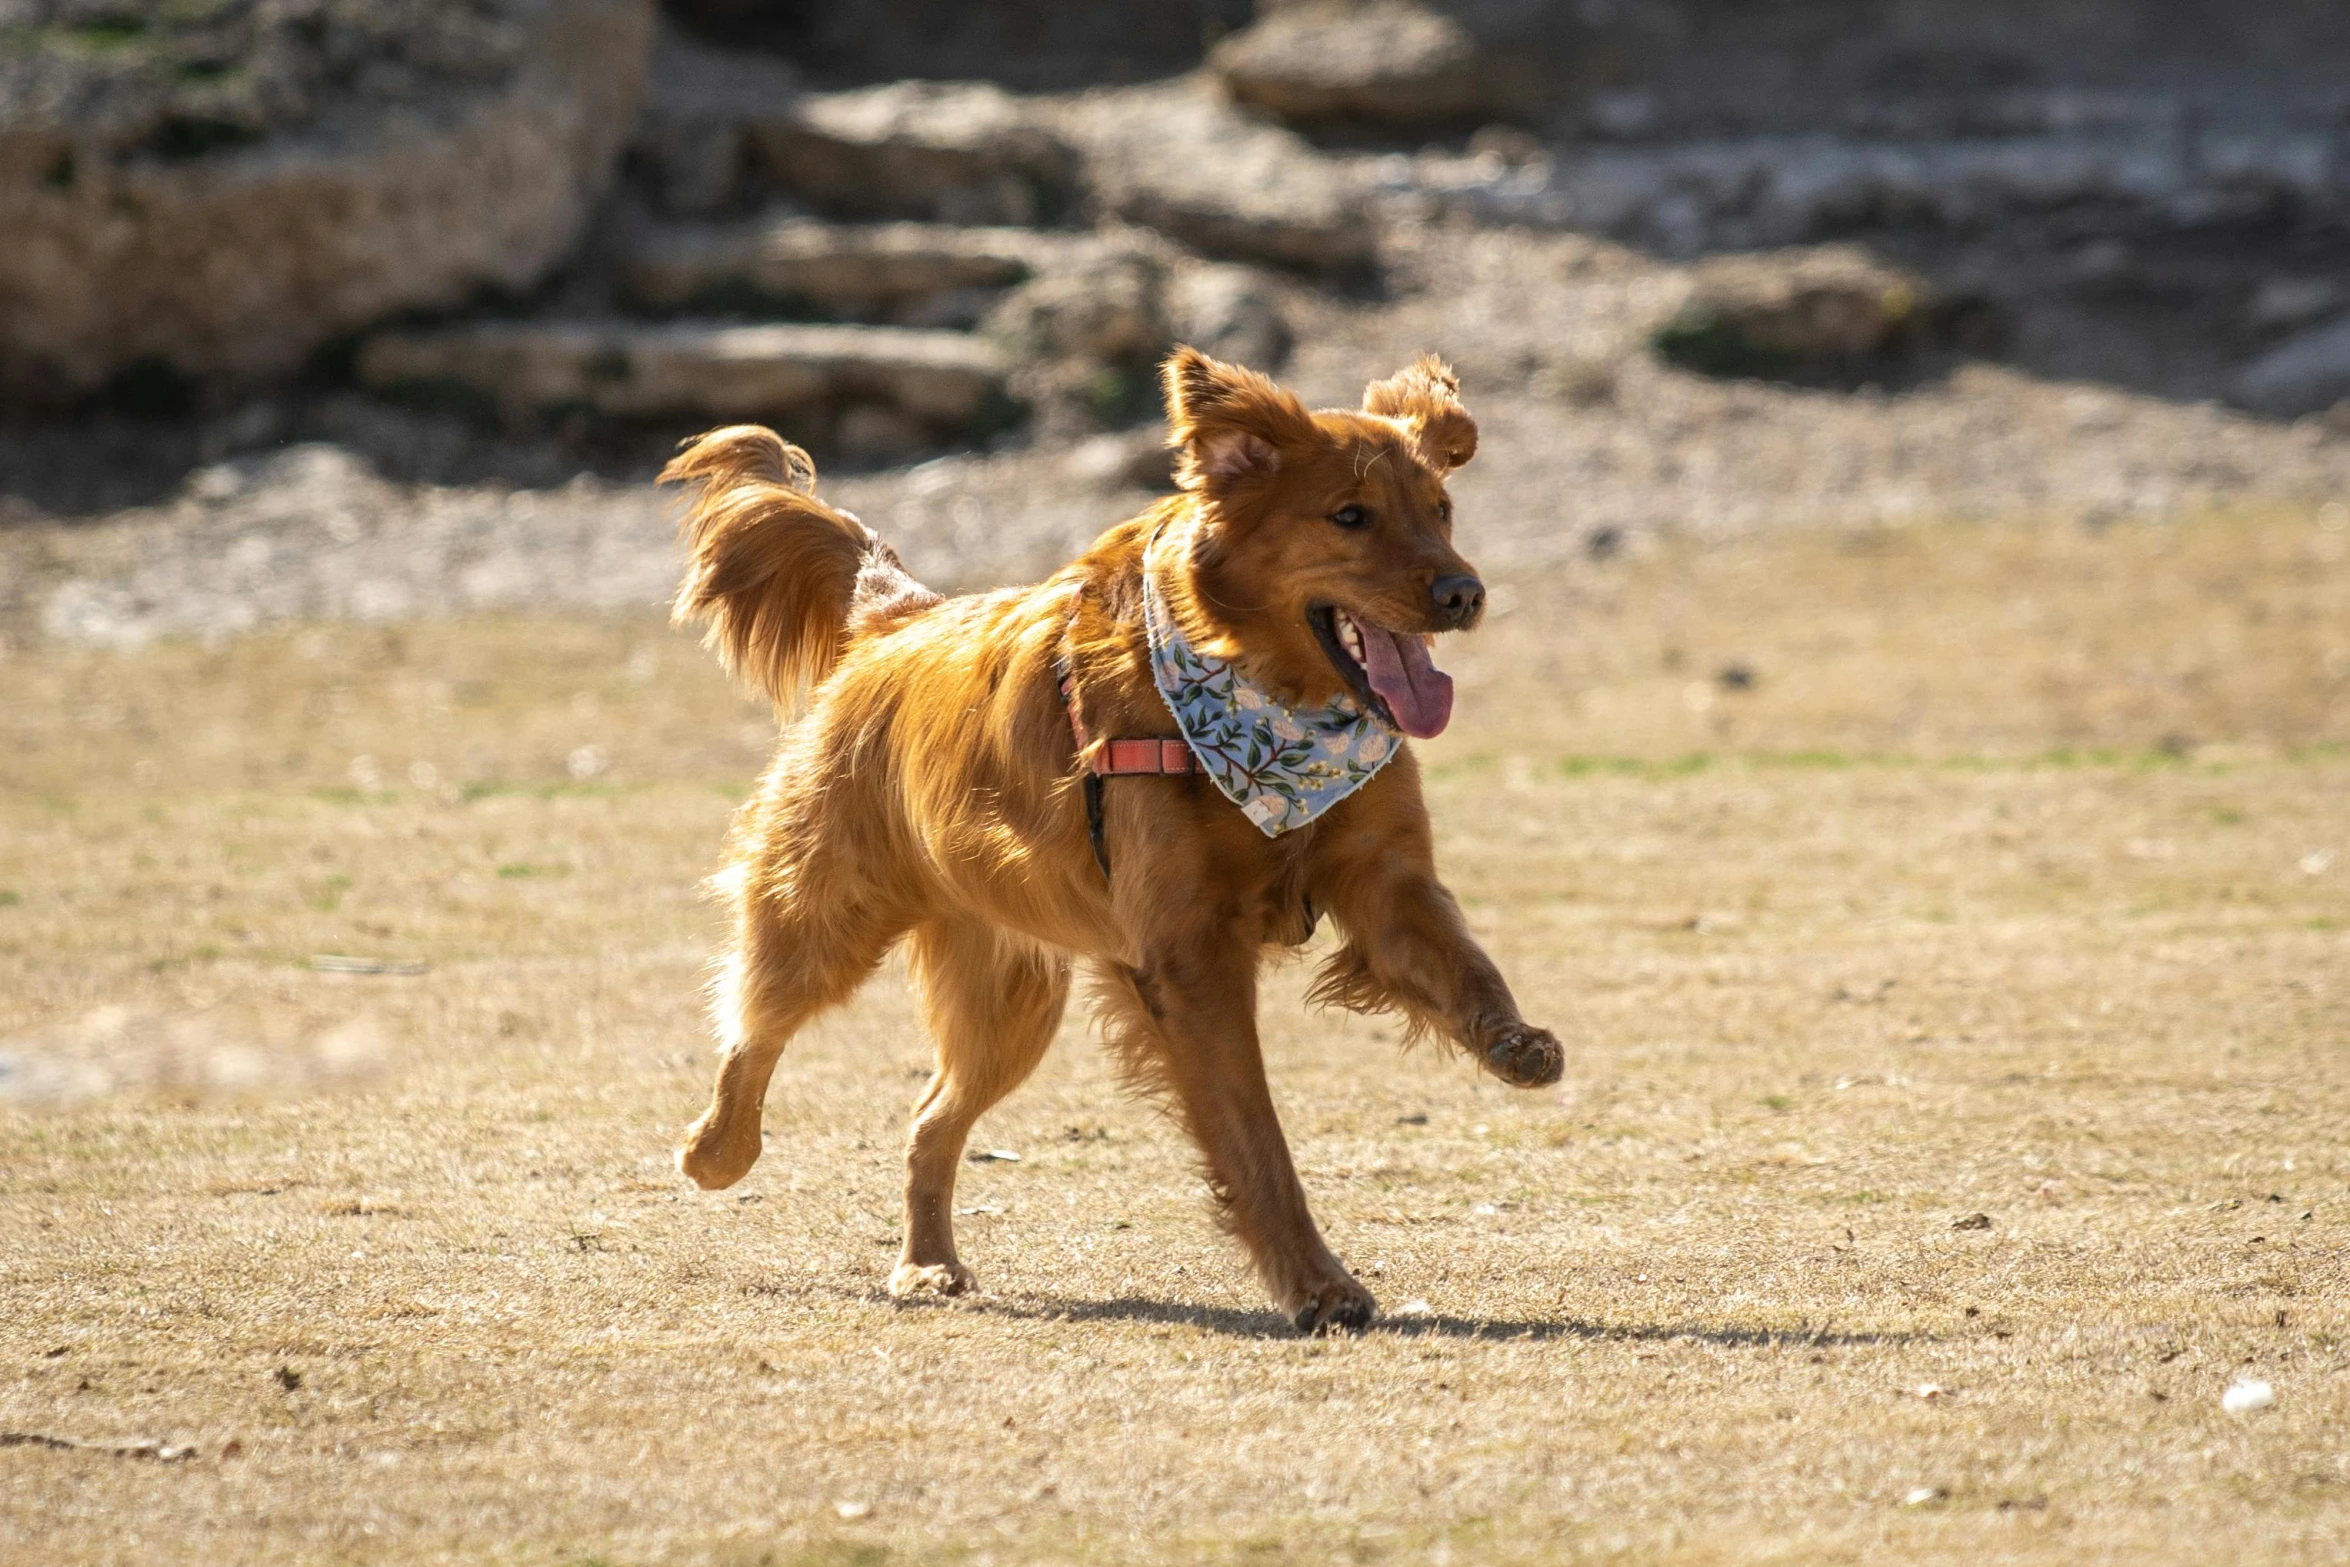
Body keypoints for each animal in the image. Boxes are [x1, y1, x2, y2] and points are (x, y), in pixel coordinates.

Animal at [662, 350, 1560, 1334]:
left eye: (1441, 509)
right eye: (1349, 515)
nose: (1464, 593)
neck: (1263, 695)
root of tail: (898, 621)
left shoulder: (1385, 877)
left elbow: (1463, 961)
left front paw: (1513, 1040)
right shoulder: (1191, 957)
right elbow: (1256, 1141)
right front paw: (1316, 1283)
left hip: (1011, 997)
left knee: (929, 1119)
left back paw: (928, 1263)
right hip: (829, 916)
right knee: (755, 1025)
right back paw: (716, 1149)